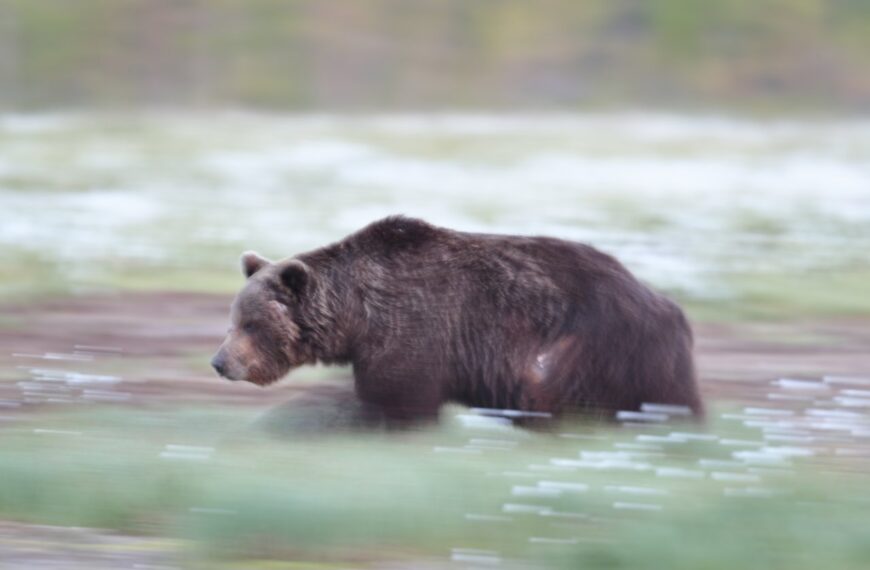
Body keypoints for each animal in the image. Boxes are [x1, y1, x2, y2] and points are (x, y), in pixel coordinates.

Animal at [213, 215, 708, 424]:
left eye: (251, 324)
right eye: (233, 319)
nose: (220, 362)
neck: (357, 318)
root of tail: (670, 306)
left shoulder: (415, 329)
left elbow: (398, 401)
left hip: (603, 349)